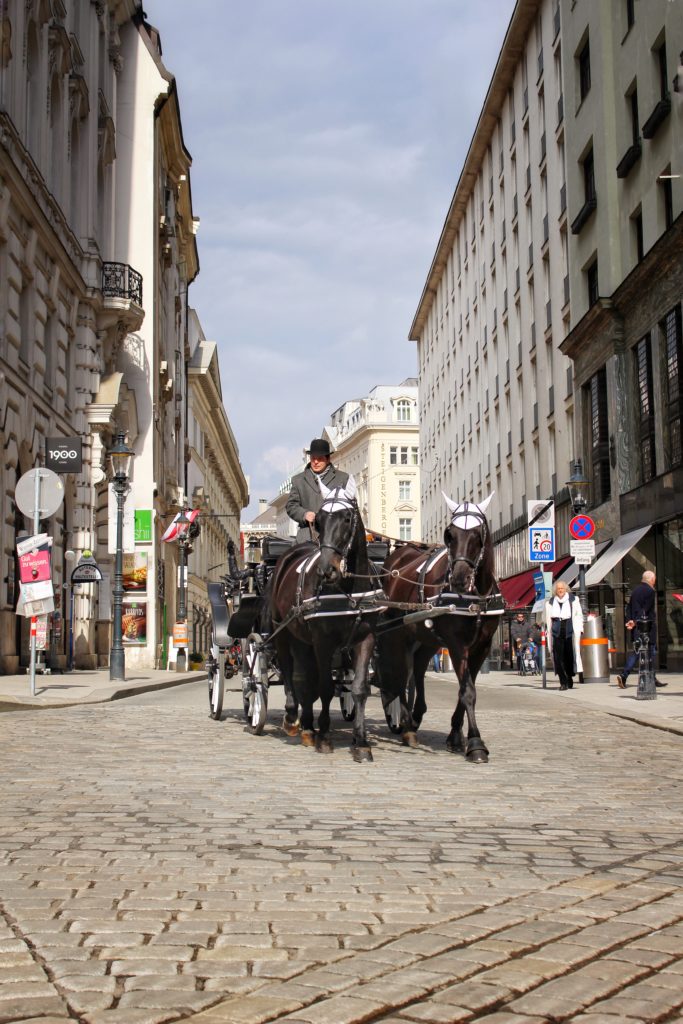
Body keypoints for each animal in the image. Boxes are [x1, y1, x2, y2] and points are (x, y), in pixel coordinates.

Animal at [266, 479, 385, 761]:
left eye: (347, 518)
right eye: (319, 520)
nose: (326, 570)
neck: (349, 588)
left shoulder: (366, 638)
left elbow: (359, 687)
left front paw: (361, 742)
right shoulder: (323, 641)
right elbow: (326, 687)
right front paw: (325, 737)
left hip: (302, 640)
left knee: (303, 678)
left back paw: (308, 727)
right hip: (282, 631)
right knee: (290, 672)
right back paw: (293, 719)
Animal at [378, 491, 501, 765]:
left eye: (477, 534)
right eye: (450, 534)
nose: (458, 578)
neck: (475, 596)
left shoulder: (482, 646)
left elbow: (465, 689)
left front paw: (456, 735)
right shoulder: (456, 644)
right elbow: (468, 691)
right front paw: (476, 744)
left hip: (426, 638)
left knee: (418, 668)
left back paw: (416, 716)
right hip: (398, 634)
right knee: (401, 672)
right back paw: (406, 726)